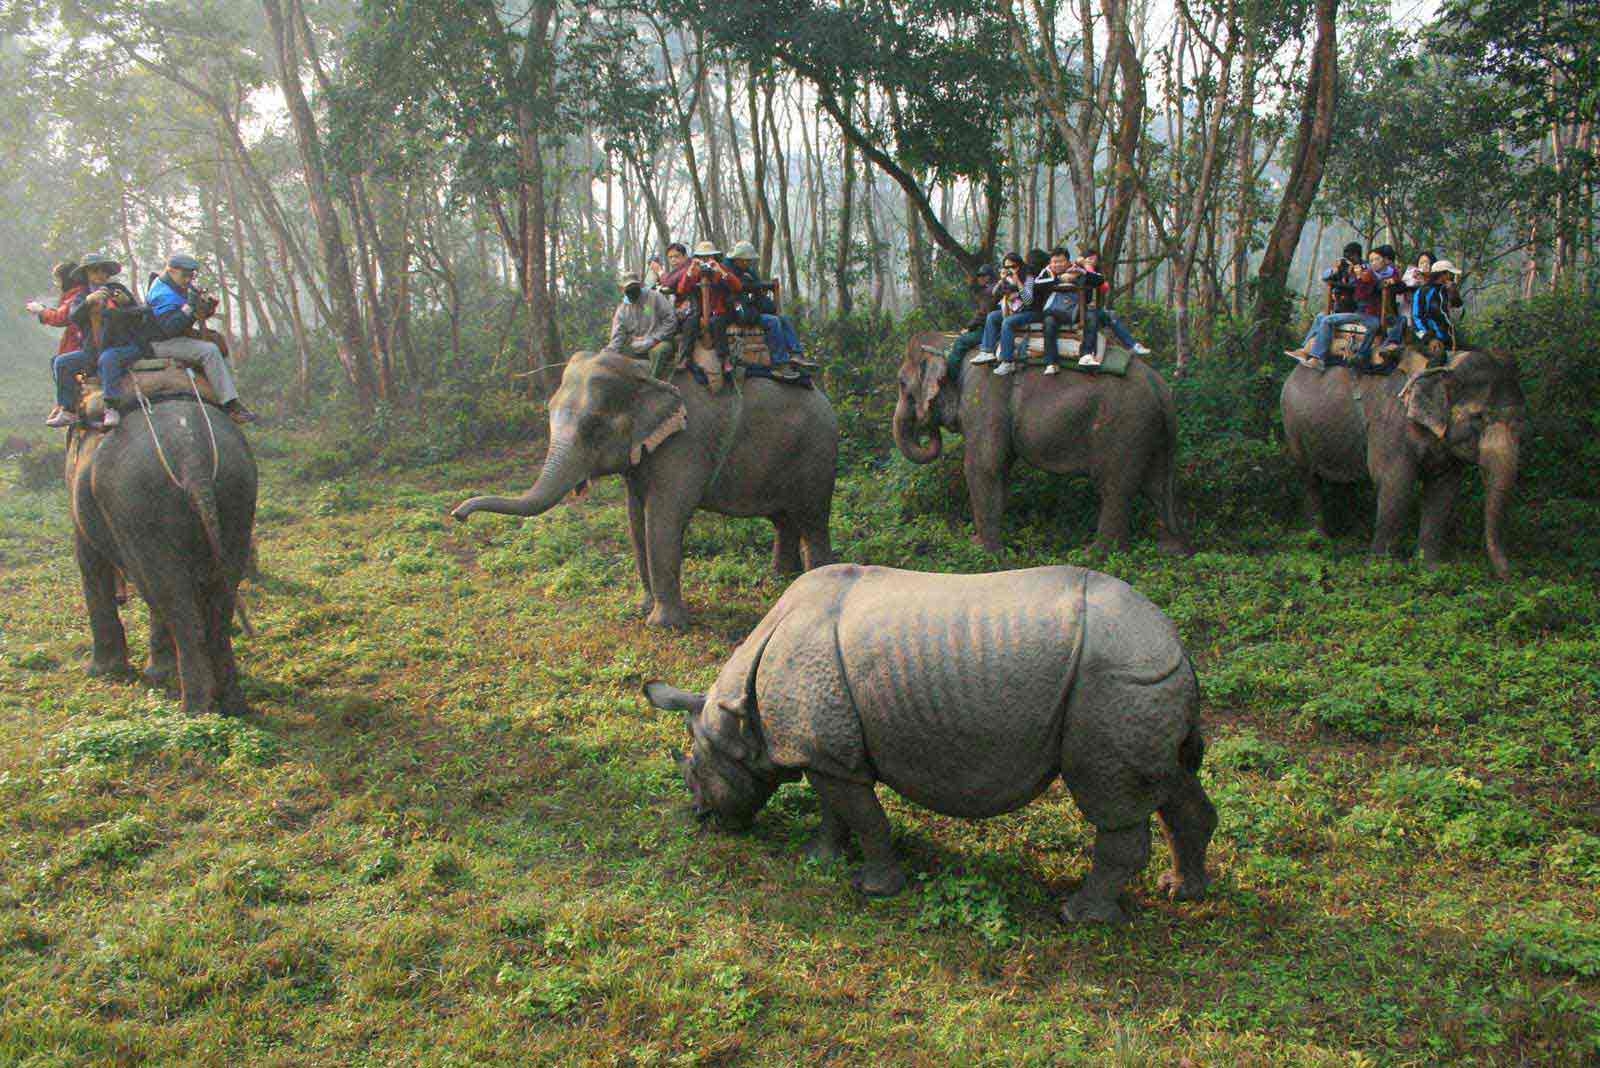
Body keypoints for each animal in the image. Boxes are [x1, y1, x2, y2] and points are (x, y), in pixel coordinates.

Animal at [68, 396, 259, 713]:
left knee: (165, 593)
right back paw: (231, 702)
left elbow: (91, 563)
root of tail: (191, 455)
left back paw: (194, 708)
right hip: (237, 495)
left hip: (139, 509)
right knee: (220, 596)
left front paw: (101, 672)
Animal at [444, 350, 832, 626]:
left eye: (593, 426)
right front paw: (642, 607)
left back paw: (816, 581)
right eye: (549, 411)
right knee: (783, 519)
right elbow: (634, 518)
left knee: (812, 517)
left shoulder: (685, 443)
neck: (643, 371)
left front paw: (663, 625)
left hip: (816, 451)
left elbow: (661, 518)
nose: (457, 515)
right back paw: (781, 577)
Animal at [643, 562, 1216, 920]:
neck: (742, 714)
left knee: (1110, 800)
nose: (703, 817)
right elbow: (835, 810)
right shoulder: (825, 751)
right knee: (1174, 783)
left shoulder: (827, 749)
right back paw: (1181, 892)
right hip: (1144, 683)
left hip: (1117, 682)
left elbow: (867, 820)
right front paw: (818, 859)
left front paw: (874, 889)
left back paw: (1079, 916)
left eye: (696, 772)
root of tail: (1175, 643)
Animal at [902, 330, 1190, 549]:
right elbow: (1000, 468)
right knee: (1157, 485)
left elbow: (982, 466)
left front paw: (984, 553)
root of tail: (1160, 386)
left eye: (902, 383)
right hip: (1153, 430)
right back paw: (1171, 550)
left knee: (1115, 488)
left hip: (1125, 424)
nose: (925, 425)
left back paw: (1094, 555)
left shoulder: (983, 396)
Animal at [1273, 350, 1523, 575]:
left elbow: (1443, 491)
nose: (1509, 576)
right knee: (1309, 479)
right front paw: (1380, 569)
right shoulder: (1391, 427)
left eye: (1519, 421)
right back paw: (1319, 541)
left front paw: (1430, 569)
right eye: (1479, 418)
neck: (1443, 368)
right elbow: (1396, 485)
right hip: (1293, 427)